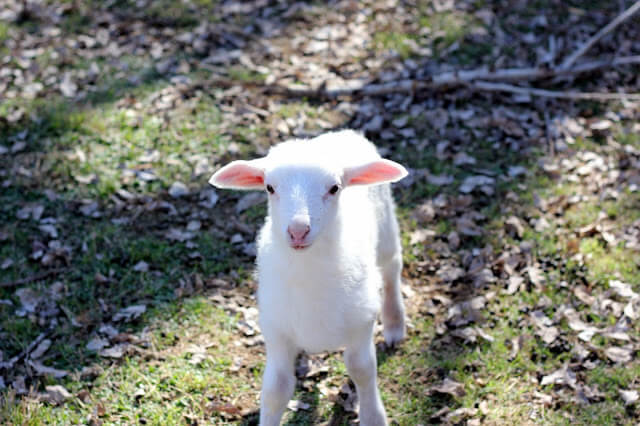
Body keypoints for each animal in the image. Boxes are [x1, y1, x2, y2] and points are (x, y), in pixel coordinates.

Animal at [211, 130, 410, 426]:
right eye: (269, 188)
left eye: (335, 188)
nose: (297, 231)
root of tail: (342, 133)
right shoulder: (276, 331)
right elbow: (276, 389)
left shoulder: (361, 323)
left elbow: (361, 370)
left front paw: (373, 416)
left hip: (386, 227)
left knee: (391, 269)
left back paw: (395, 325)